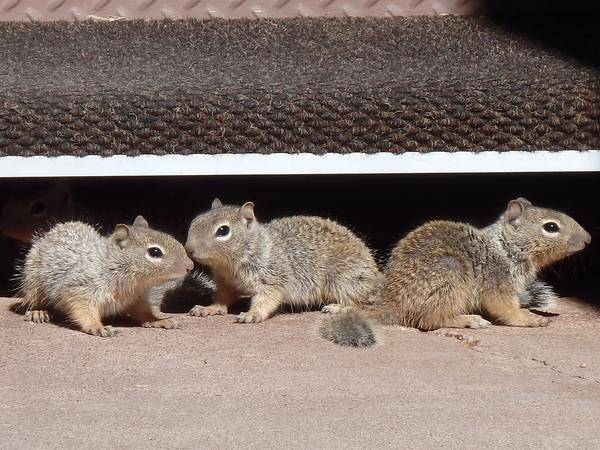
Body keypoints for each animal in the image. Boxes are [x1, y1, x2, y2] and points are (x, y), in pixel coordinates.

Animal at [17, 216, 192, 336]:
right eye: (155, 252)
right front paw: (97, 327)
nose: (190, 266)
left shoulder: (137, 298)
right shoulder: (79, 288)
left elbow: (143, 312)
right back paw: (38, 312)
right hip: (33, 284)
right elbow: (82, 309)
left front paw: (159, 320)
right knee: (33, 301)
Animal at [183, 199, 382, 326]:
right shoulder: (226, 283)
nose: (188, 249)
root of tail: (375, 275)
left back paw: (338, 307)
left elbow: (267, 298)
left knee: (356, 301)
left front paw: (252, 314)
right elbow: (222, 298)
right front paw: (210, 309)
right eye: (195, 220)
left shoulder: (272, 278)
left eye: (223, 230)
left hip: (343, 279)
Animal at [322, 197, 592, 348]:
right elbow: (506, 309)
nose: (588, 239)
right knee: (431, 320)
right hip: (450, 277)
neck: (506, 247)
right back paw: (469, 320)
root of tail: (394, 306)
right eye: (551, 227)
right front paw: (530, 319)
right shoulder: (498, 282)